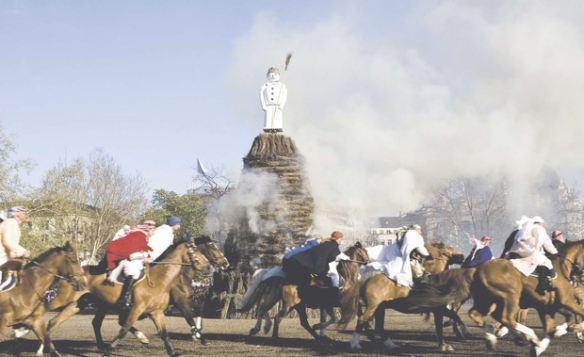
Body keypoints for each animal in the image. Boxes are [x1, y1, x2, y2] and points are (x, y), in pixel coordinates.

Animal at [43, 239, 212, 356]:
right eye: (196, 252)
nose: (209, 266)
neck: (160, 279)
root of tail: (70, 274)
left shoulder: (157, 312)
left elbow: (164, 333)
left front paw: (173, 351)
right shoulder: (137, 309)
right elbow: (123, 329)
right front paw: (109, 349)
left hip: (78, 304)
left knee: (54, 322)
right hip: (63, 299)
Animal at [234, 242, 368, 342]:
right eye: (364, 251)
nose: (367, 261)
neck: (348, 278)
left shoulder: (328, 305)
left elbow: (332, 318)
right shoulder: (337, 303)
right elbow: (334, 319)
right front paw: (319, 327)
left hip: (290, 304)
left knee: (266, 310)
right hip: (288, 304)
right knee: (276, 316)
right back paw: (273, 334)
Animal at [340, 239, 468, 350]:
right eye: (450, 248)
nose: (462, 256)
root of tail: (365, 281)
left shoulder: (439, 308)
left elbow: (453, 316)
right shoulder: (438, 309)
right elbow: (445, 322)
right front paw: (449, 342)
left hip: (380, 309)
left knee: (379, 327)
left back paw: (391, 344)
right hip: (372, 307)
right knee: (362, 320)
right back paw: (355, 344)